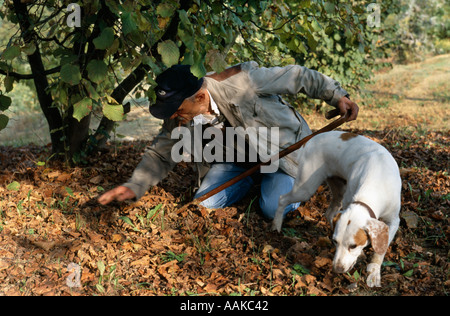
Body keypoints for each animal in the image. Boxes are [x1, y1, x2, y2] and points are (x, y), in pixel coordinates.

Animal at [270, 130, 400, 288]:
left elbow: (380, 252)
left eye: (353, 246)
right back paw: (276, 225)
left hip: (338, 189)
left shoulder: (393, 222)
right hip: (306, 188)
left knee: (330, 212)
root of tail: (310, 140)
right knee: (282, 199)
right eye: (335, 242)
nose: (337, 269)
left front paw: (374, 272)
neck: (377, 180)